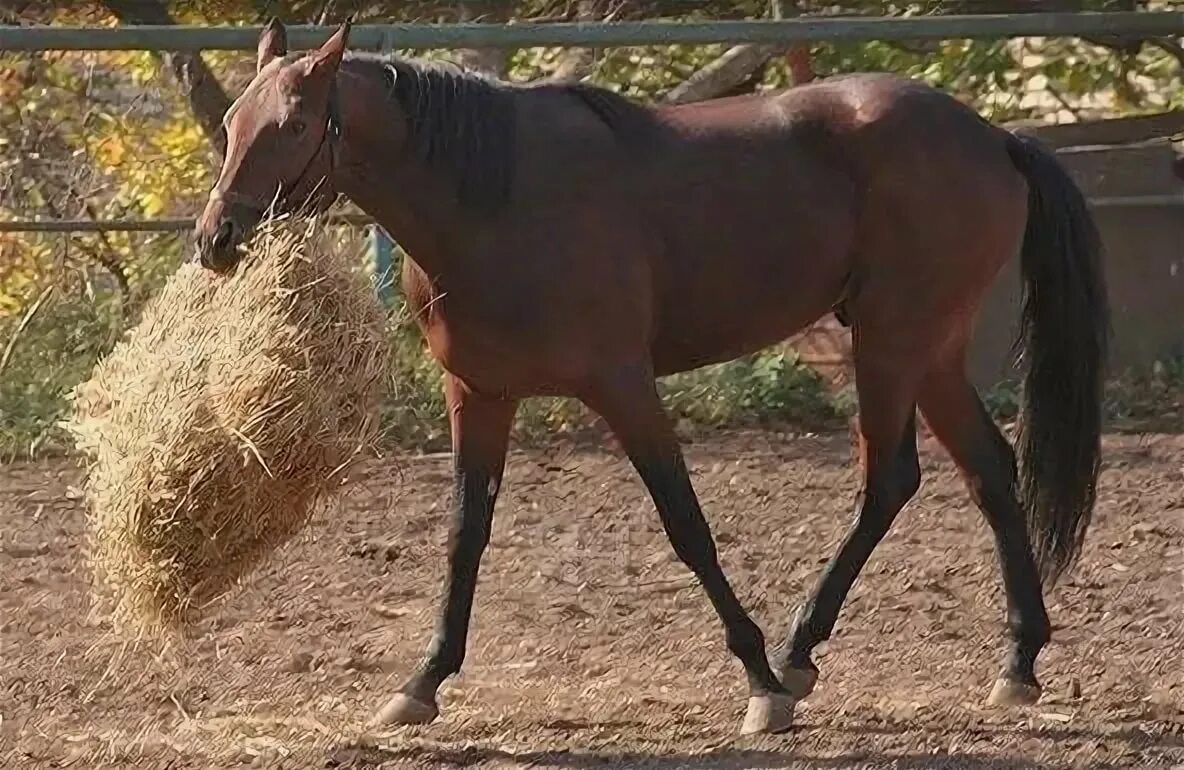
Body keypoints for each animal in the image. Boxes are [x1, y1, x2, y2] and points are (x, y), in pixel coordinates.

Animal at [194, 21, 1108, 734]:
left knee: (890, 480)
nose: (216, 238)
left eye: (295, 122)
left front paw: (760, 685)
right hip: (929, 352)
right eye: (235, 120)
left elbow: (686, 526)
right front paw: (422, 683)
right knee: (988, 470)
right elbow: (463, 537)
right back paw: (1016, 663)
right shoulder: (480, 396)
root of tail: (995, 138)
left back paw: (797, 654)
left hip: (891, 344)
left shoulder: (623, 387)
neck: (494, 197)